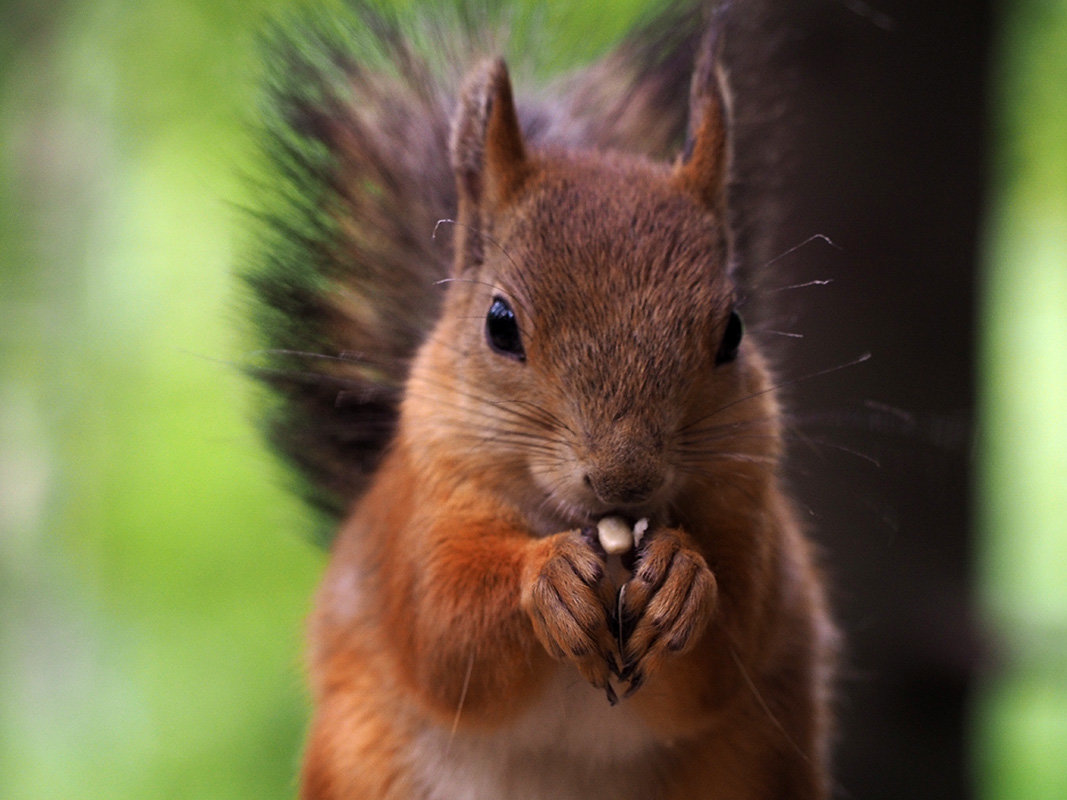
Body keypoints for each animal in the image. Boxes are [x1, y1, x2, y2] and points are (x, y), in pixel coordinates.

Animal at [245, 1, 836, 800]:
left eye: (733, 332)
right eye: (500, 324)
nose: (623, 478)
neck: (589, 532)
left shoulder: (752, 519)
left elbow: (731, 638)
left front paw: (684, 578)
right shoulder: (416, 517)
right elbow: (445, 627)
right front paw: (546, 579)